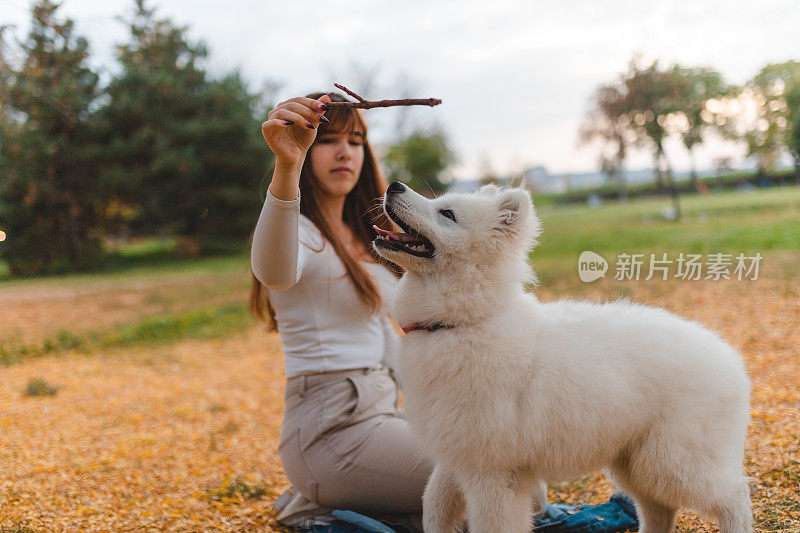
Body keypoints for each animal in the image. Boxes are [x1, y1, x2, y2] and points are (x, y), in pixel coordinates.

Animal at [374, 182, 752, 532]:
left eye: (447, 214)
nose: (394, 186)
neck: (463, 322)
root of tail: (732, 361)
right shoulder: (456, 458)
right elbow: (432, 505)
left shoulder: (492, 474)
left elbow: (488, 523)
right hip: (636, 463)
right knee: (660, 509)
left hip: (673, 462)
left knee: (733, 496)